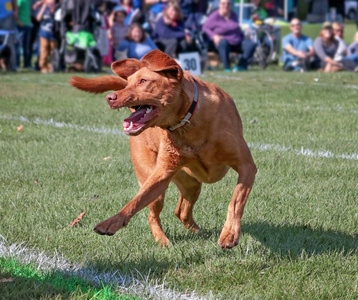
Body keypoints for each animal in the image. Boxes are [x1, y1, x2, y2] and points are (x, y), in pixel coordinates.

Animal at [69, 50, 255, 250]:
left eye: (143, 81)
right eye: (128, 83)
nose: (110, 98)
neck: (188, 121)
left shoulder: (246, 166)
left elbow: (236, 200)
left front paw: (229, 233)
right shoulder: (162, 173)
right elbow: (134, 202)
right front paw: (111, 222)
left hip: (192, 185)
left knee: (181, 211)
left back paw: (201, 233)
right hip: (155, 181)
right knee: (154, 214)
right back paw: (162, 240)